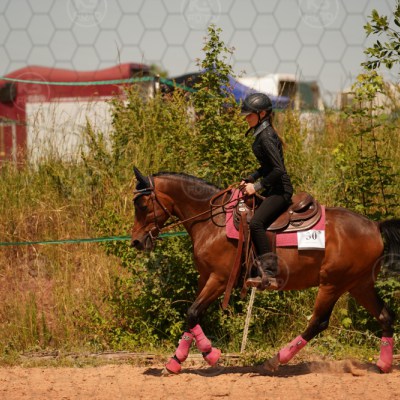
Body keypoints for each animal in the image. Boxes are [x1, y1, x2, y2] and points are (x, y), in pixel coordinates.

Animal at [130, 167, 400, 374]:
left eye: (142, 205)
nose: (136, 242)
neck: (213, 222)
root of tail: (375, 226)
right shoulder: (205, 277)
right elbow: (191, 316)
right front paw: (177, 361)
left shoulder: (219, 279)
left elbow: (193, 312)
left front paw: (209, 353)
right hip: (359, 285)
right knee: (385, 316)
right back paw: (383, 365)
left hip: (333, 284)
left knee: (318, 322)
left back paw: (276, 360)